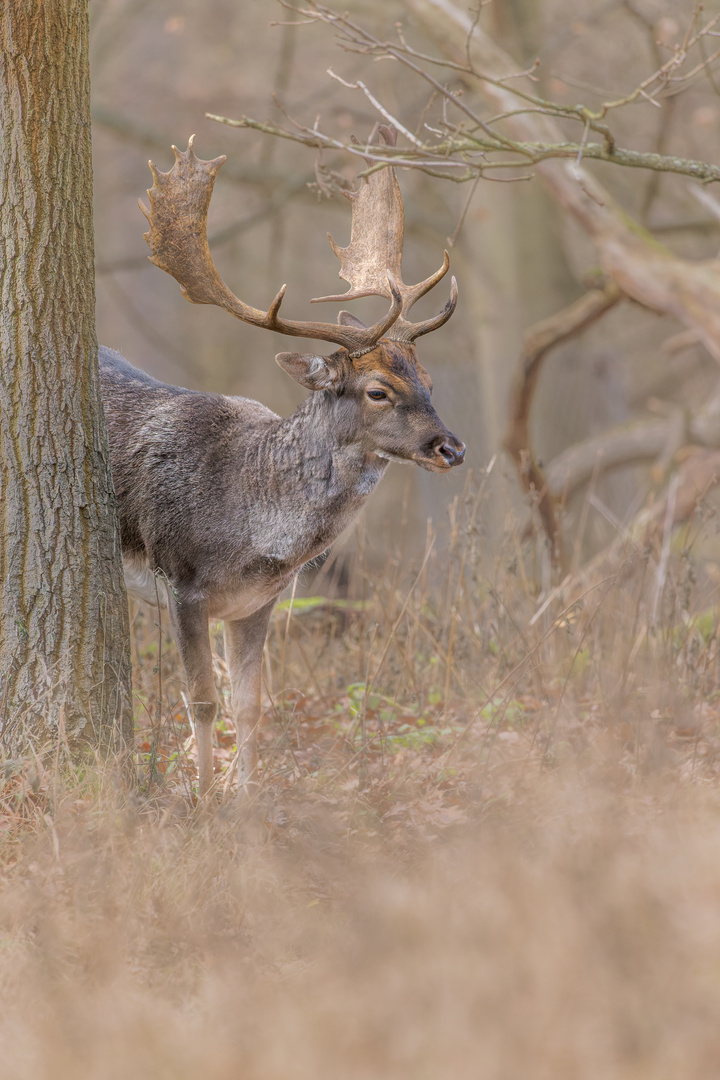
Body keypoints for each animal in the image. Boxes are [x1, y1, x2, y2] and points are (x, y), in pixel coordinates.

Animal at [98, 128, 464, 803]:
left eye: (426, 379)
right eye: (377, 390)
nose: (450, 448)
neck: (258, 531)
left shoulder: (257, 602)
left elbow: (250, 704)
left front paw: (247, 798)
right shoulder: (183, 582)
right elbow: (201, 700)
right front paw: (206, 801)